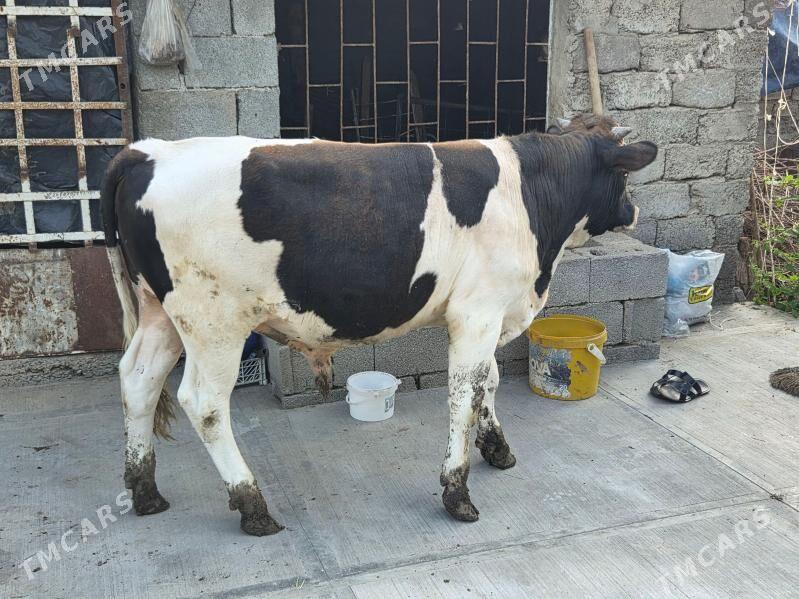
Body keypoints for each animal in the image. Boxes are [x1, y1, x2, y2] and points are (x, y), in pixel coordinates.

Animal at [101, 114, 657, 536]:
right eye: (625, 177)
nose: (633, 211)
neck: (530, 198)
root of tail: (148, 152)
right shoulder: (477, 312)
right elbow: (465, 393)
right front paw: (457, 491)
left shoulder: (492, 313)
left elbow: (490, 382)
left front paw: (497, 449)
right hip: (213, 321)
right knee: (204, 403)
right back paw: (252, 505)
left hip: (161, 314)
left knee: (138, 380)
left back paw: (144, 490)